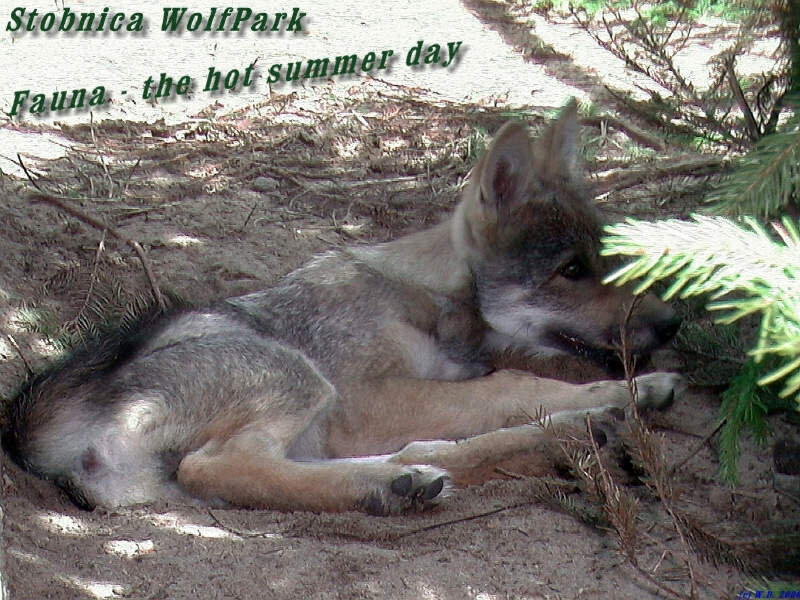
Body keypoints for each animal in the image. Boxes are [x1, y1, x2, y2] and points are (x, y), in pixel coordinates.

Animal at [3, 101, 682, 515]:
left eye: (611, 257)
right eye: (571, 270)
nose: (674, 322)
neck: (427, 297)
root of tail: (30, 425)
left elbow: (516, 384)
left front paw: (631, 390)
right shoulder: (367, 400)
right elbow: (512, 382)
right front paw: (620, 390)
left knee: (431, 453)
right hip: (297, 377)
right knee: (217, 467)